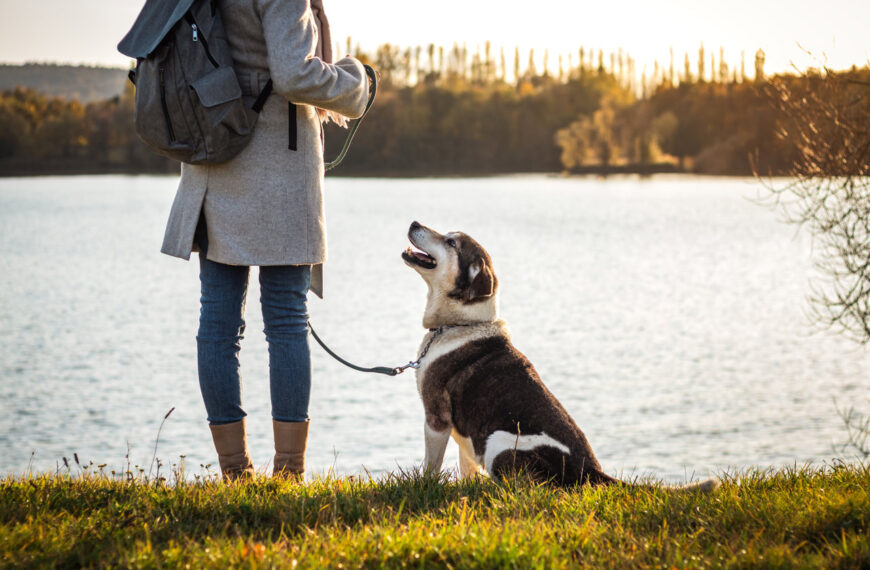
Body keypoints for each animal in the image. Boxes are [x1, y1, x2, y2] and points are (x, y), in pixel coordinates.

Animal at [406, 221, 720, 488]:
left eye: (451, 242)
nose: (414, 223)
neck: (461, 323)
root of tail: (589, 470)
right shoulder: (465, 437)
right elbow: (467, 468)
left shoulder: (436, 418)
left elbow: (431, 465)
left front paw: (425, 486)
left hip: (499, 440)